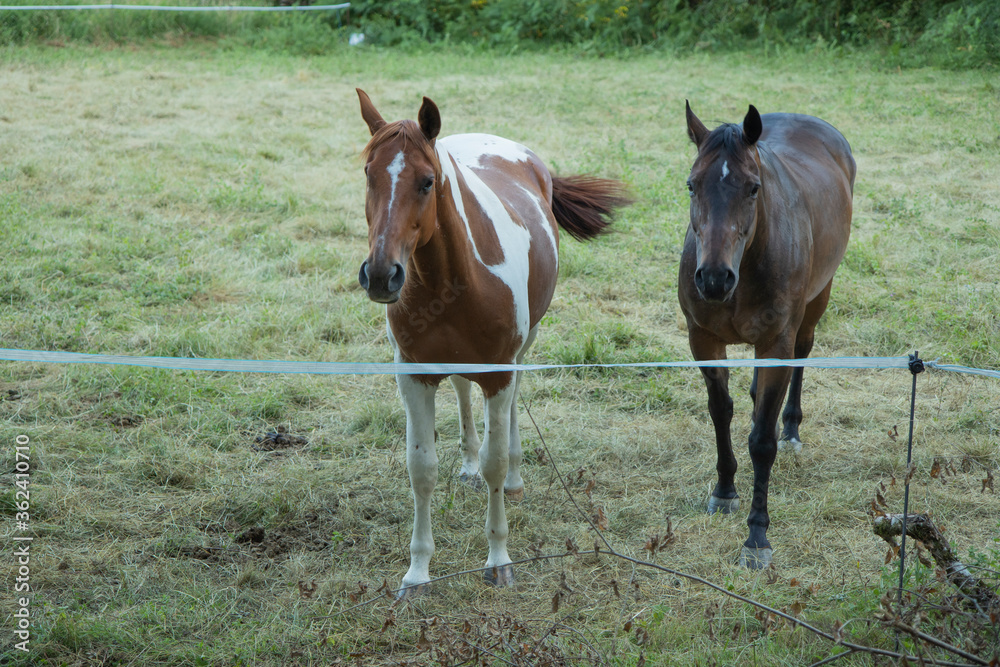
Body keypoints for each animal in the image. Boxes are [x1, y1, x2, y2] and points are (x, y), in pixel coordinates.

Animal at [356, 90, 628, 600]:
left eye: (427, 182)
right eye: (368, 175)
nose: (381, 275)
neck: (454, 280)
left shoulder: (499, 372)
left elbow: (495, 465)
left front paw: (499, 560)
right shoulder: (413, 376)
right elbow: (421, 469)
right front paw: (417, 573)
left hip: (523, 347)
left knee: (512, 407)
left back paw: (516, 479)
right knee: (463, 390)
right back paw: (465, 461)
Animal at [684, 102, 856, 572]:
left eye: (754, 188)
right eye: (691, 185)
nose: (713, 279)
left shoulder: (776, 343)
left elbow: (761, 441)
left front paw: (757, 537)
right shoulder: (704, 340)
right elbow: (720, 411)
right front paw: (724, 491)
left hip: (816, 302)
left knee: (803, 355)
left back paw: (791, 429)